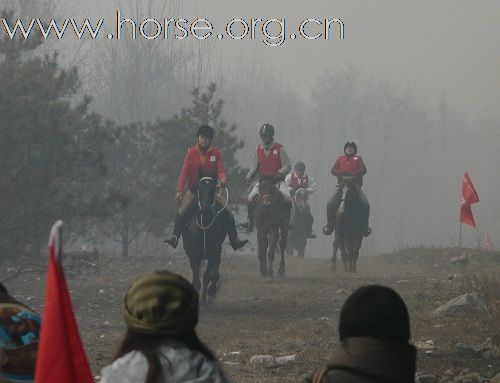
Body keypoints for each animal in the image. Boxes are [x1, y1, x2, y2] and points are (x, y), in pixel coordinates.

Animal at [181, 178, 226, 308]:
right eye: (199, 191)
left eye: (212, 191)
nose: (205, 210)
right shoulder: (193, 255)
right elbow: (196, 279)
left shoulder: (213, 254)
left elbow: (207, 276)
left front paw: (204, 301)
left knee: (214, 271)